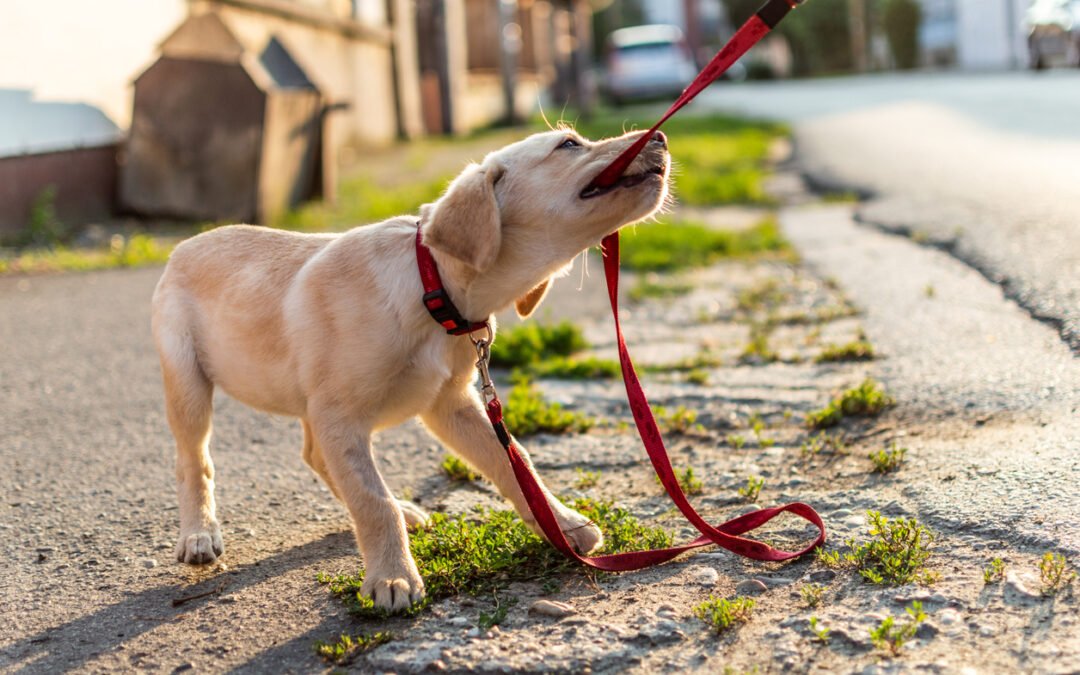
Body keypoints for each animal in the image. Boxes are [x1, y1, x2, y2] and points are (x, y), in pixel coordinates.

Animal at [152, 126, 669, 609]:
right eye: (569, 145)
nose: (661, 136)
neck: (431, 288)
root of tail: (185, 245)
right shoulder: (341, 415)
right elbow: (372, 500)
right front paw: (392, 577)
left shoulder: (450, 405)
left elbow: (514, 460)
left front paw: (561, 523)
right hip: (189, 383)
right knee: (193, 460)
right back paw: (199, 534)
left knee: (316, 456)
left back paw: (405, 508)